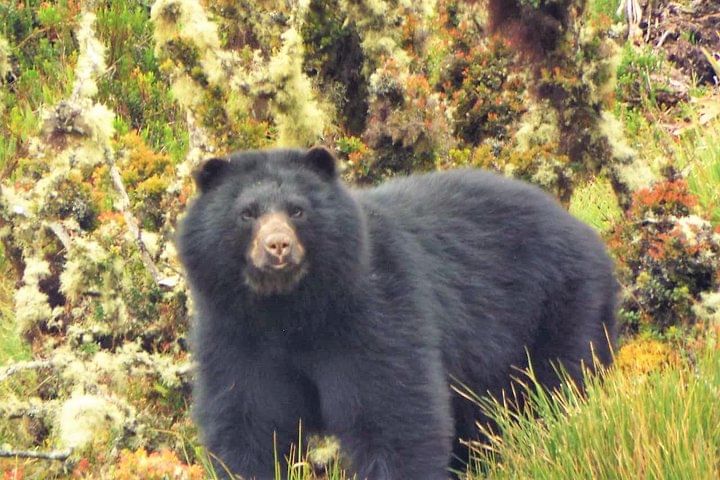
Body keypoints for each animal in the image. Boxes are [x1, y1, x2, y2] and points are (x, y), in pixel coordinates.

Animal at [177, 147, 618, 480]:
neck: (289, 311)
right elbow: (247, 424)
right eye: (247, 212)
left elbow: (395, 414)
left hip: (560, 308)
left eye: (298, 210)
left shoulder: (375, 312)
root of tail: (587, 232)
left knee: (556, 389)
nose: (278, 246)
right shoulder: (235, 334)